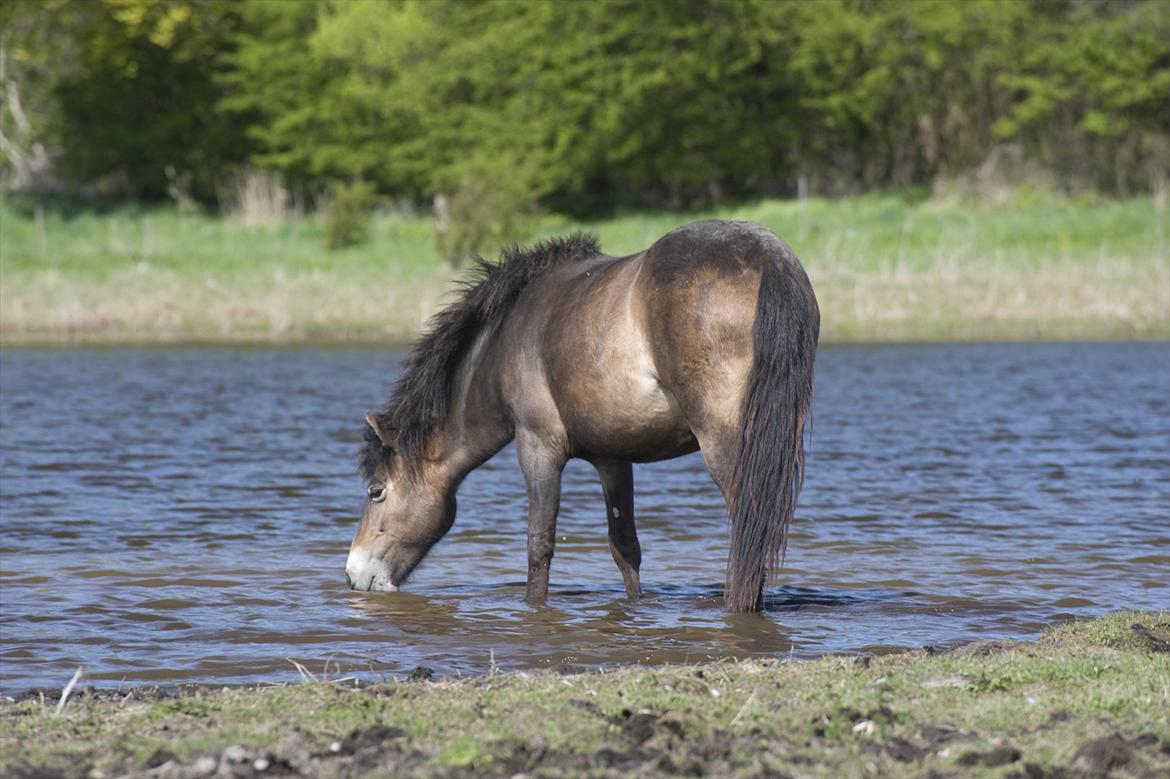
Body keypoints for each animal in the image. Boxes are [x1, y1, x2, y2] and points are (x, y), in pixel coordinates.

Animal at [346, 218, 819, 612]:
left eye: (375, 490)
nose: (353, 574)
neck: (502, 344)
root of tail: (767, 256)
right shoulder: (613, 458)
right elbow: (625, 548)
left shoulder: (537, 446)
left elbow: (539, 544)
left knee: (749, 521)